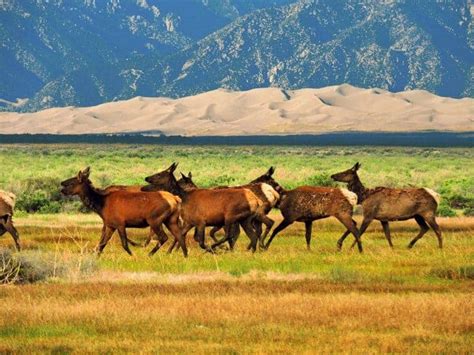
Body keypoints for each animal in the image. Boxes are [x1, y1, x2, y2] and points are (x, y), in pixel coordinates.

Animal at [143, 168, 280, 253]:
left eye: (160, 174)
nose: (146, 181)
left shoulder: (203, 222)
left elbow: (202, 238)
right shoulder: (191, 222)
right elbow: (184, 235)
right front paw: (170, 251)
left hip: (236, 217)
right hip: (246, 219)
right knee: (255, 233)